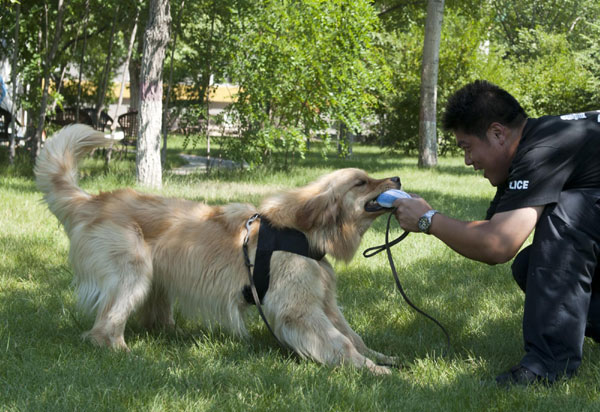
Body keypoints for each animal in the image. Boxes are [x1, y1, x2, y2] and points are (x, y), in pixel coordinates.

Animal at [36, 124, 404, 374]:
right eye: (362, 182)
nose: (398, 179)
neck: (305, 231)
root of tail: (93, 201)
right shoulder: (298, 307)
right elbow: (340, 342)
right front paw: (372, 370)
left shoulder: (325, 301)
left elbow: (353, 336)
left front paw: (383, 358)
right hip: (132, 273)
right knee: (104, 327)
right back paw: (125, 352)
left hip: (154, 279)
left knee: (151, 319)